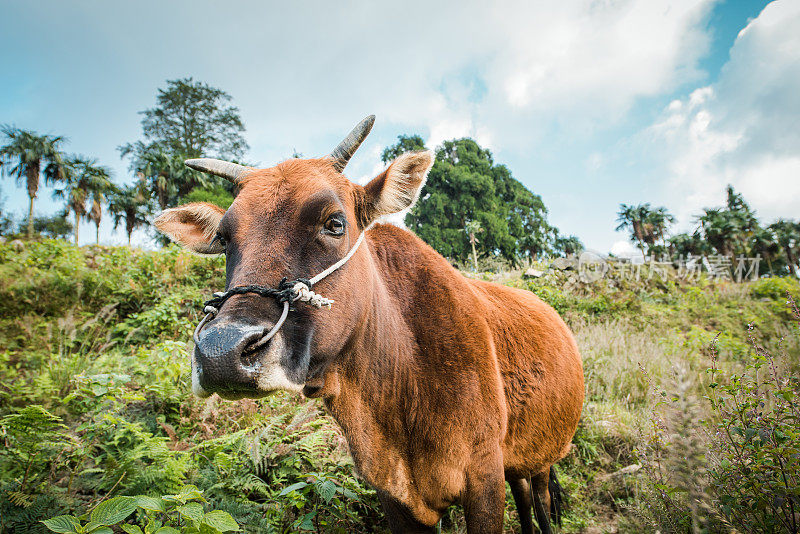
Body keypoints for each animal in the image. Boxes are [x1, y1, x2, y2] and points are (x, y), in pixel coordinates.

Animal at [155, 115, 580, 532]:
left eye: (335, 223)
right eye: (223, 239)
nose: (221, 351)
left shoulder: (484, 481)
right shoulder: (394, 496)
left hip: (542, 456)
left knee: (538, 503)